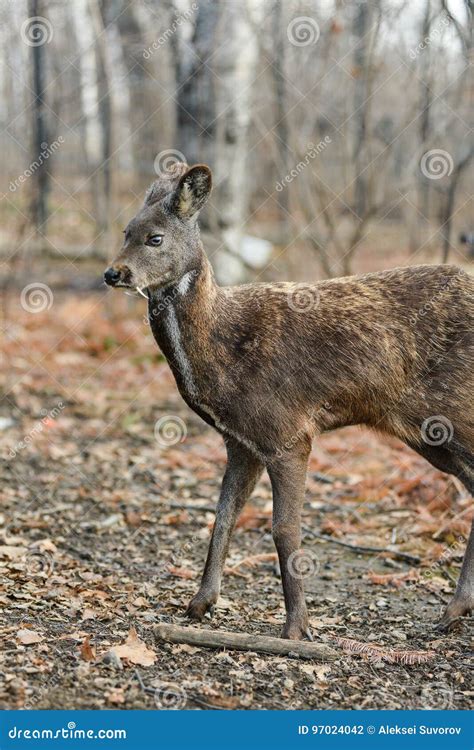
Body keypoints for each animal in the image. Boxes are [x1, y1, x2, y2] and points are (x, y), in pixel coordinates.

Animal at [105, 162, 472, 644]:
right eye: (126, 231)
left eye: (156, 237)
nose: (113, 274)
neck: (222, 349)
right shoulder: (241, 441)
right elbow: (222, 517)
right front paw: (200, 604)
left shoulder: (288, 432)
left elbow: (284, 529)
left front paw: (296, 627)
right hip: (431, 434)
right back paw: (454, 612)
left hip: (454, 409)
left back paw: (453, 610)